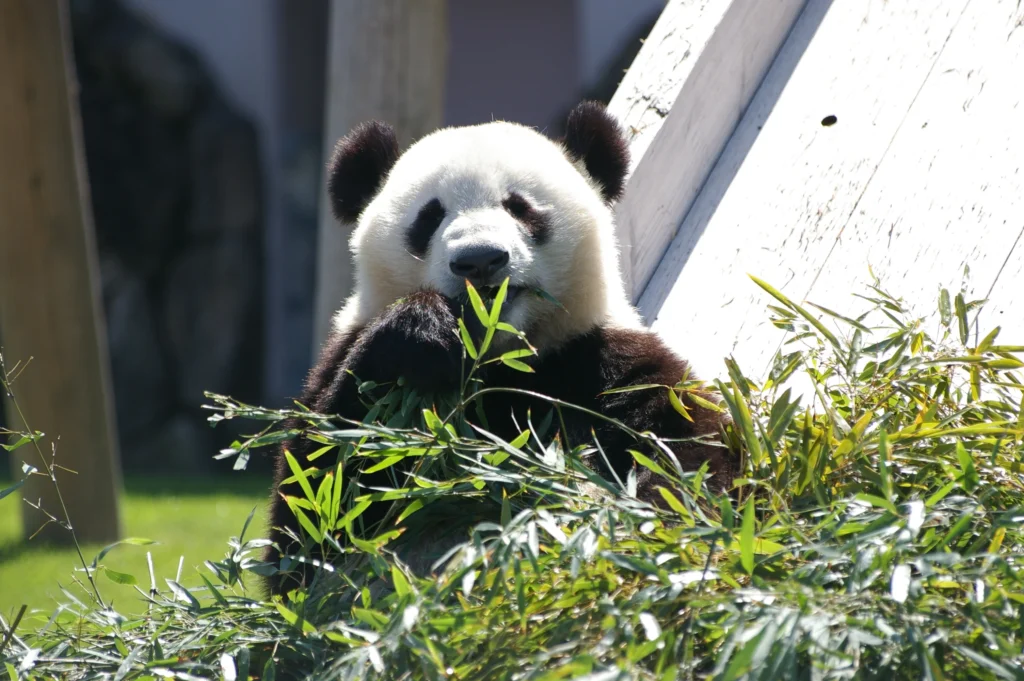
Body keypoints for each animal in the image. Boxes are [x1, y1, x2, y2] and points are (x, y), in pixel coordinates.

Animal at [265, 102, 734, 596]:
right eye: (430, 216)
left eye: (519, 207)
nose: (479, 260)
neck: (501, 355)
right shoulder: (343, 364)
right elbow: (316, 518)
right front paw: (422, 331)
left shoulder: (606, 360)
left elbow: (687, 460)